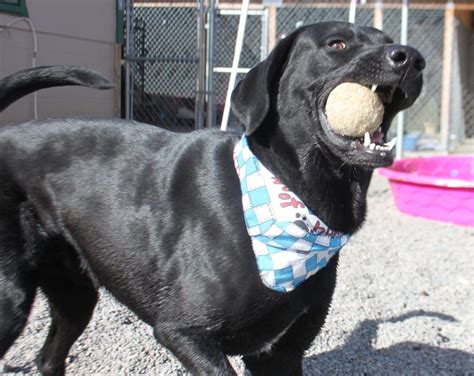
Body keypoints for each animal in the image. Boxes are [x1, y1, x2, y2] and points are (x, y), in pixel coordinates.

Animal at [0, 22, 422, 374]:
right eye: (337, 44)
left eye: (388, 40)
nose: (413, 58)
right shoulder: (185, 333)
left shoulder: (282, 354)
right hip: (12, 298)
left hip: (76, 293)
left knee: (48, 356)